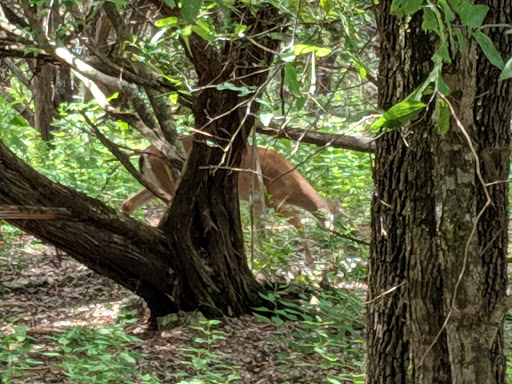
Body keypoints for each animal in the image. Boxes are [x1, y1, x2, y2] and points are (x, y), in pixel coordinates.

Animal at [122, 135, 334, 264]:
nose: (333, 236)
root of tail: (144, 155)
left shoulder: (259, 201)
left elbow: (260, 229)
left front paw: (260, 261)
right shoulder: (274, 198)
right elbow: (298, 220)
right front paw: (309, 261)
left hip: (154, 182)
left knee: (128, 203)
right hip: (172, 181)